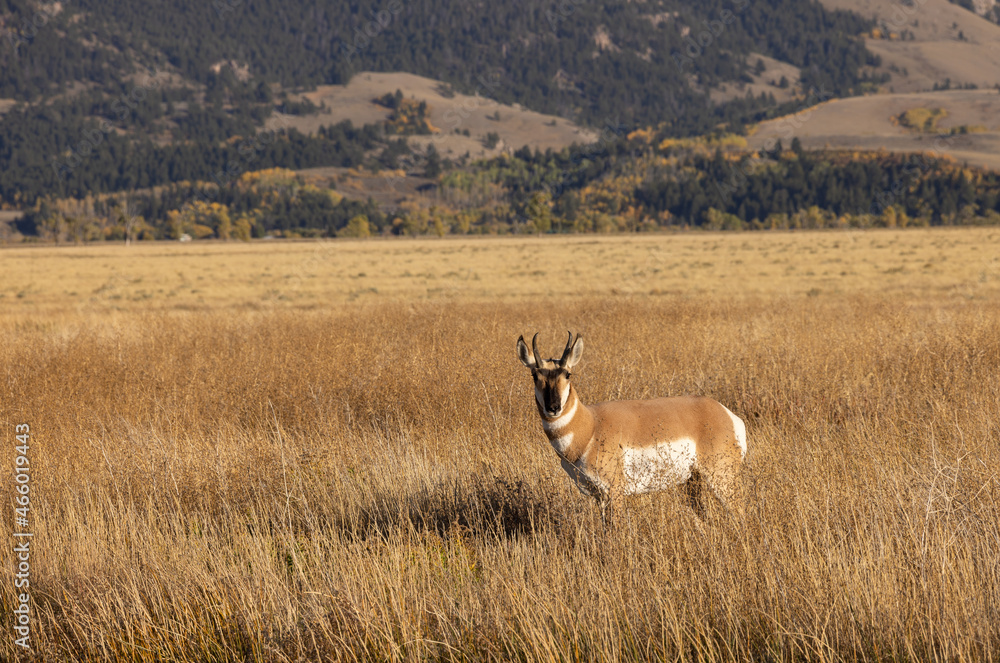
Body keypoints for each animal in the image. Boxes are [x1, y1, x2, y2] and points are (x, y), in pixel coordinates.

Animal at [516, 332, 747, 525]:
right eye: (535, 376)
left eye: (567, 374)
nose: (553, 407)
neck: (591, 426)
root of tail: (726, 414)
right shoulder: (598, 496)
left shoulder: (614, 492)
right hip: (693, 482)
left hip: (722, 479)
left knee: (739, 512)